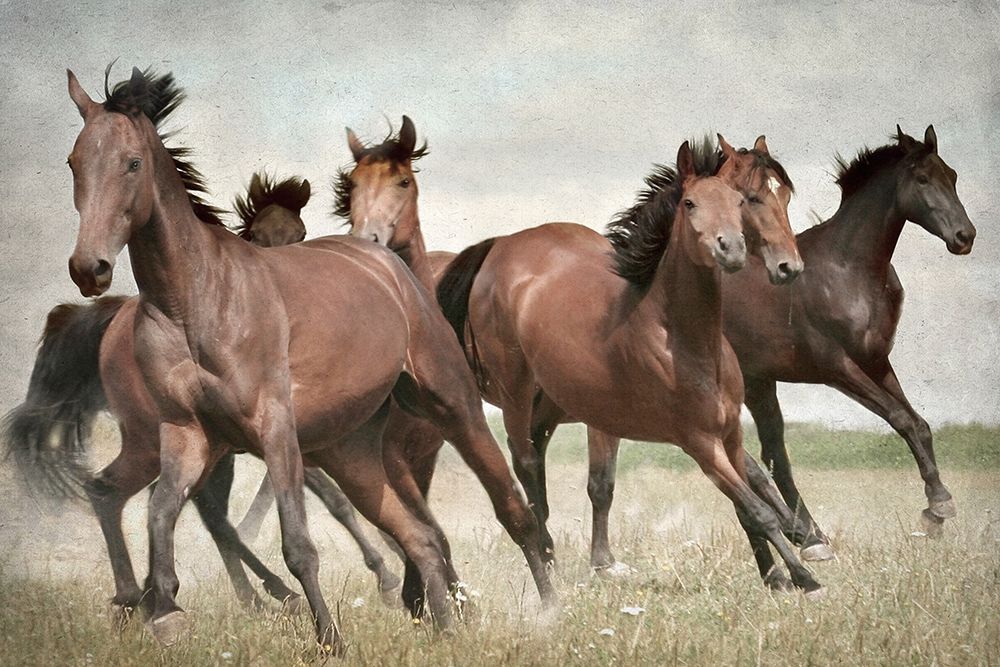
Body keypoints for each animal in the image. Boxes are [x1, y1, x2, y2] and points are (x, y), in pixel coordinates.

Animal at [3, 167, 407, 617]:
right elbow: (334, 499)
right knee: (193, 509)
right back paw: (260, 593)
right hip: (168, 441)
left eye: (300, 233)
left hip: (201, 448)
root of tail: (112, 320)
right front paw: (387, 576)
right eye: (257, 236)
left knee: (184, 505)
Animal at [57, 65, 555, 652]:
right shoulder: (185, 433)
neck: (194, 301)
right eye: (73, 162)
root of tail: (388, 266)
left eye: (132, 163)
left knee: (510, 511)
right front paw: (164, 611)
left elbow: (297, 543)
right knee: (422, 538)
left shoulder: (275, 429)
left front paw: (330, 640)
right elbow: (161, 514)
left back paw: (550, 609)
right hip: (351, 452)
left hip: (452, 407)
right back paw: (445, 628)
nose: (89, 268)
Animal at [435, 138, 822, 595]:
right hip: (516, 393)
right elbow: (753, 507)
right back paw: (545, 555)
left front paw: (788, 559)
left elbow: (753, 489)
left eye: (741, 201)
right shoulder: (697, 441)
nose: (787, 266)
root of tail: (500, 248)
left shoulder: (726, 433)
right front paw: (800, 572)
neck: (684, 340)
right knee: (525, 462)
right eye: (690, 203)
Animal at [719, 126, 976, 547]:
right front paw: (939, 506)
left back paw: (807, 534)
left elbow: (918, 423)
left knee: (772, 453)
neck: (849, 270)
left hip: (760, 384)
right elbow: (899, 418)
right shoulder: (835, 367)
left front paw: (935, 509)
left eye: (952, 176)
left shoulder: (876, 360)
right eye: (923, 179)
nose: (964, 236)